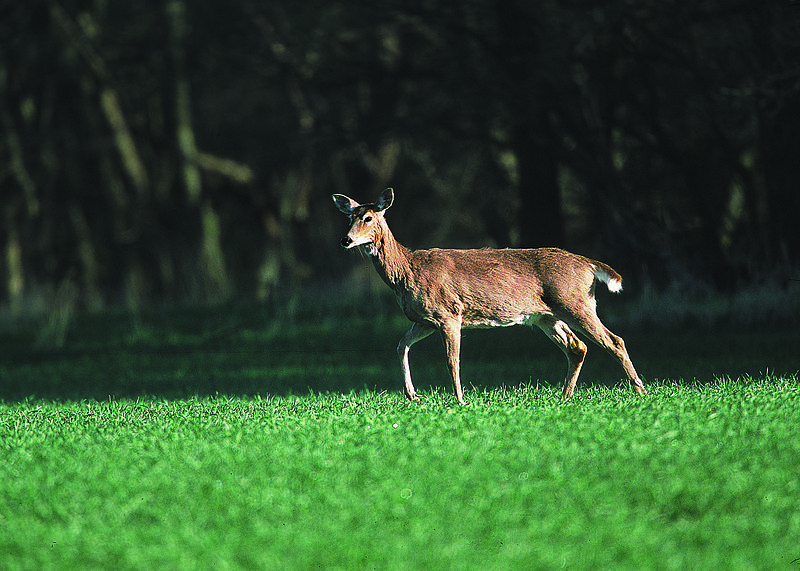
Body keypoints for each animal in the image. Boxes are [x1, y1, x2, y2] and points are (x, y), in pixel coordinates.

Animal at [332, 188, 644, 402]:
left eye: (368, 217)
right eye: (349, 217)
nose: (345, 240)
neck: (407, 270)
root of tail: (589, 264)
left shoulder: (449, 313)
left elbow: (452, 360)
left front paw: (460, 400)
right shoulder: (424, 319)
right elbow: (400, 346)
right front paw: (413, 395)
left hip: (576, 302)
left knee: (614, 340)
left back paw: (639, 391)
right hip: (546, 316)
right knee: (578, 347)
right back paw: (564, 397)